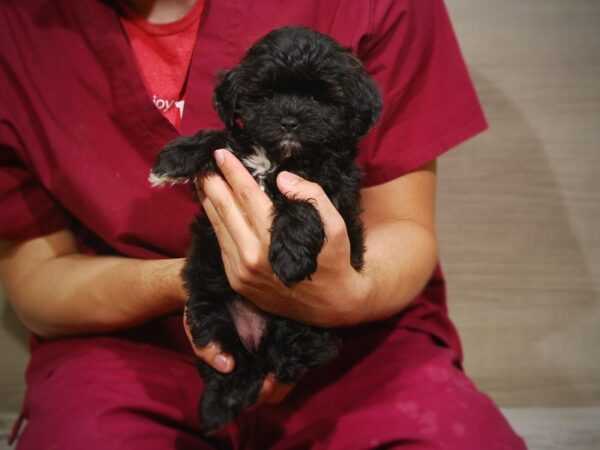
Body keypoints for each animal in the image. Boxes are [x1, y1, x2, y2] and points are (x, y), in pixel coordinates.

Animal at [152, 25, 382, 432]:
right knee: (235, 365)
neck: (279, 156)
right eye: (268, 94)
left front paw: (289, 255)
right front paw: (176, 157)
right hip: (209, 311)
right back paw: (217, 404)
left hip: (305, 324)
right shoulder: (236, 156)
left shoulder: (331, 191)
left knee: (282, 359)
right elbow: (220, 139)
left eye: (318, 97)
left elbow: (301, 204)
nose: (290, 120)